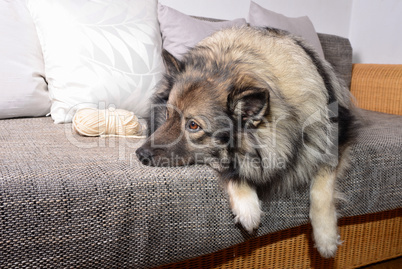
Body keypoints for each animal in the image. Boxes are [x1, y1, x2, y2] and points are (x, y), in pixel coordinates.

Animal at [135, 26, 358, 256]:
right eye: (168, 114)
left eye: (193, 125)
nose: (140, 154)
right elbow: (233, 171)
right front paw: (248, 207)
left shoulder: (335, 139)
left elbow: (322, 188)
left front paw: (326, 238)